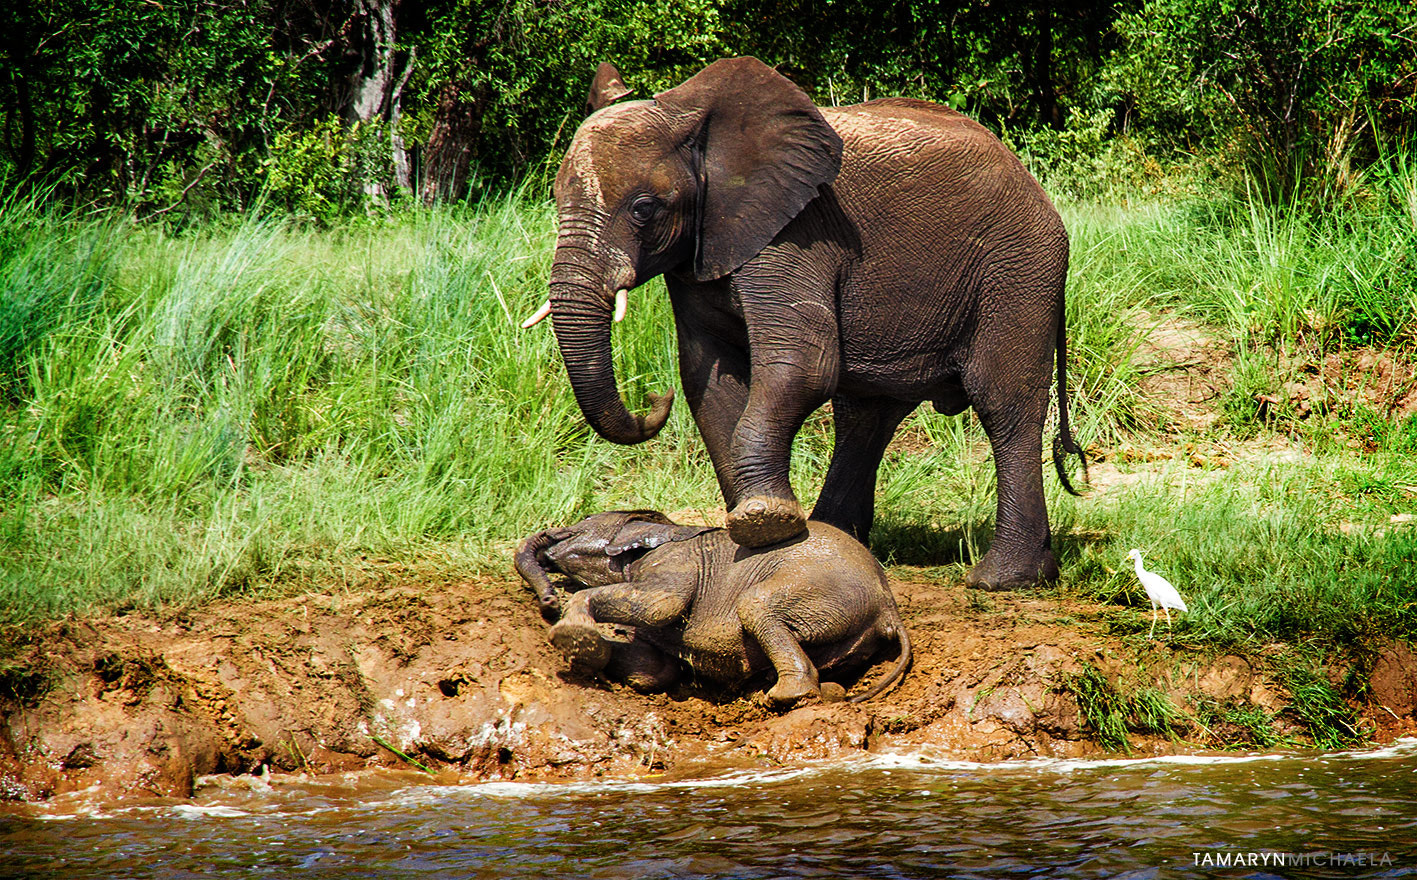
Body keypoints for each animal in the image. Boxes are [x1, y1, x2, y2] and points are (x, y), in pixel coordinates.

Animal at [514, 511, 912, 708]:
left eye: (575, 529)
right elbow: (652, 671)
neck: (663, 526)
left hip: (820, 588)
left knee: (755, 605)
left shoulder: (673, 562)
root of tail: (888, 607)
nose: (549, 601)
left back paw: (785, 696)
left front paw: (569, 633)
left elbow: (660, 605)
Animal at [522, 56, 1087, 590]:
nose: (652, 402)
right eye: (556, 199)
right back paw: (837, 536)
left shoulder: (796, 233)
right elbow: (711, 376)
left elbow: (804, 366)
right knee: (867, 415)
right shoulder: (707, 248)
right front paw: (764, 539)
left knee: (1004, 405)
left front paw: (764, 523)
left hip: (1017, 271)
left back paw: (1004, 579)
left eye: (643, 209)